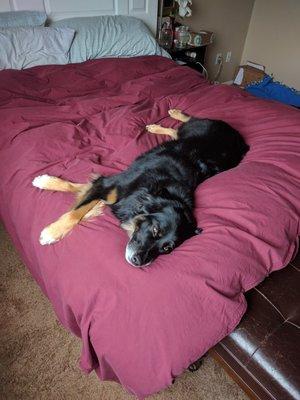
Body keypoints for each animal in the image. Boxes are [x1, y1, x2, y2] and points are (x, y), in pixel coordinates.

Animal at [32, 109, 248, 268]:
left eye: (167, 249)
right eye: (155, 230)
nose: (139, 262)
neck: (156, 191)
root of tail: (240, 140)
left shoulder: (111, 192)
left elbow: (84, 200)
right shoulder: (109, 185)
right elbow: (76, 210)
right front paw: (51, 230)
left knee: (177, 131)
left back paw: (160, 124)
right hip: (198, 128)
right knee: (188, 122)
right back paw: (173, 114)